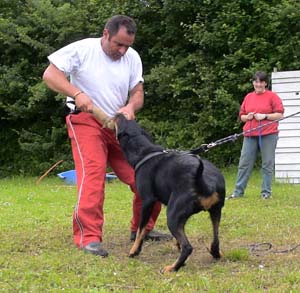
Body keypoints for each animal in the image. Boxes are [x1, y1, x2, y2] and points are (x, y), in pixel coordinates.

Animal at [116, 113, 225, 272]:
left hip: (172, 216)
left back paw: (172, 267)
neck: (145, 151)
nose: (119, 114)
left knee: (188, 247)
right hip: (215, 212)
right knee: (215, 241)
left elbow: (140, 230)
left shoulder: (147, 201)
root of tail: (205, 184)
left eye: (121, 120)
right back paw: (214, 253)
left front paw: (134, 251)